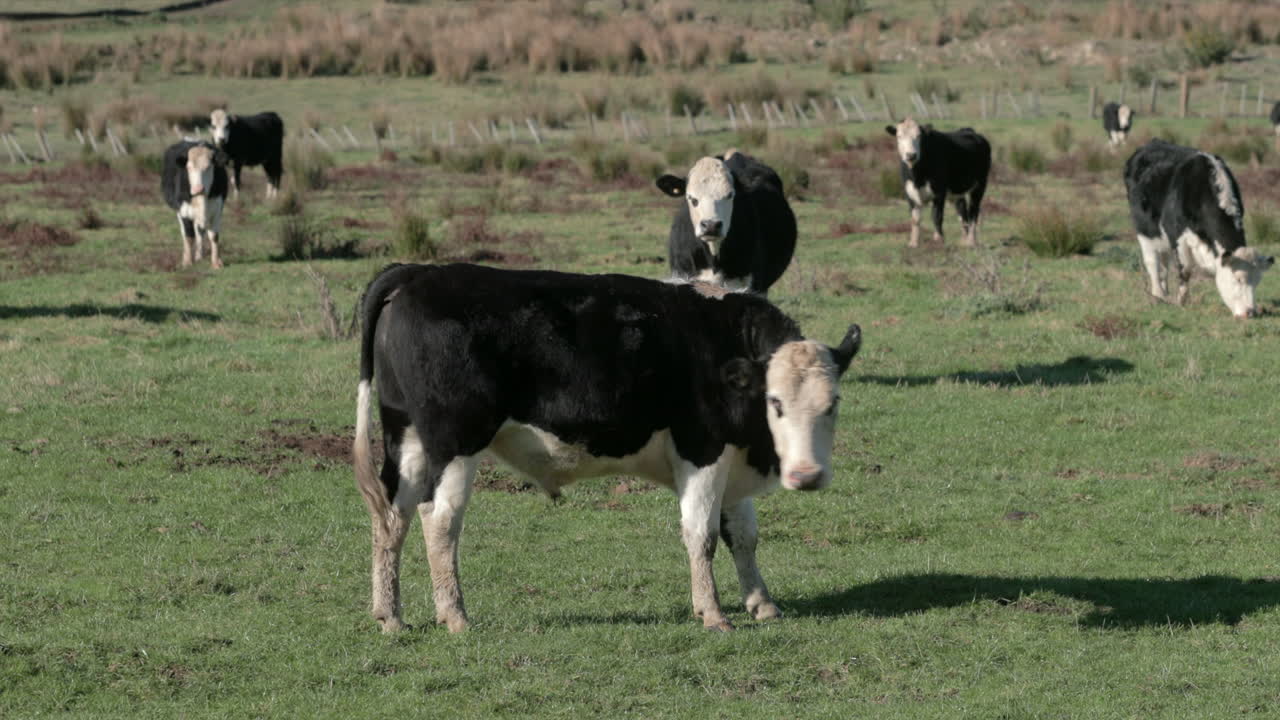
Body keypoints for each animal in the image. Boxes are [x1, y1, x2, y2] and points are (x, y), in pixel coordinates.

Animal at [161, 140, 228, 269]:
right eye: (189, 167)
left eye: (208, 167)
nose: (198, 189)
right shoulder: (184, 212)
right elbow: (189, 236)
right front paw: (187, 262)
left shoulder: (217, 210)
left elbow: (214, 236)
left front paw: (216, 262)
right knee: (186, 233)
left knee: (200, 231)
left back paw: (199, 256)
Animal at [352, 263, 862, 633]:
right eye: (775, 402)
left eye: (833, 403)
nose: (807, 475)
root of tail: (417, 272)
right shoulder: (702, 452)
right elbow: (702, 535)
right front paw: (714, 614)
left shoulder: (732, 458)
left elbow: (744, 534)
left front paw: (762, 603)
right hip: (455, 443)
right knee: (439, 520)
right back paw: (455, 615)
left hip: (406, 438)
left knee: (392, 515)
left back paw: (390, 616)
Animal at [885, 118, 991, 248]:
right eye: (899, 136)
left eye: (919, 136)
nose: (911, 155)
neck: (917, 177)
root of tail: (969, 130)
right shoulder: (909, 192)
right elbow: (915, 219)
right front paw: (913, 243)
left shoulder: (939, 192)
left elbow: (937, 216)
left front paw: (938, 240)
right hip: (957, 192)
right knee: (963, 213)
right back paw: (964, 241)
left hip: (979, 185)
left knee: (973, 212)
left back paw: (972, 241)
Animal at [1123, 139, 1274, 318]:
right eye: (1237, 279)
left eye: (1257, 282)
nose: (1250, 312)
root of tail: (1151, 143)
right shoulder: (1177, 236)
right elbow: (1185, 270)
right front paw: (1181, 302)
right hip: (1145, 231)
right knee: (1152, 262)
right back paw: (1157, 295)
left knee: (1164, 263)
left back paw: (1165, 293)